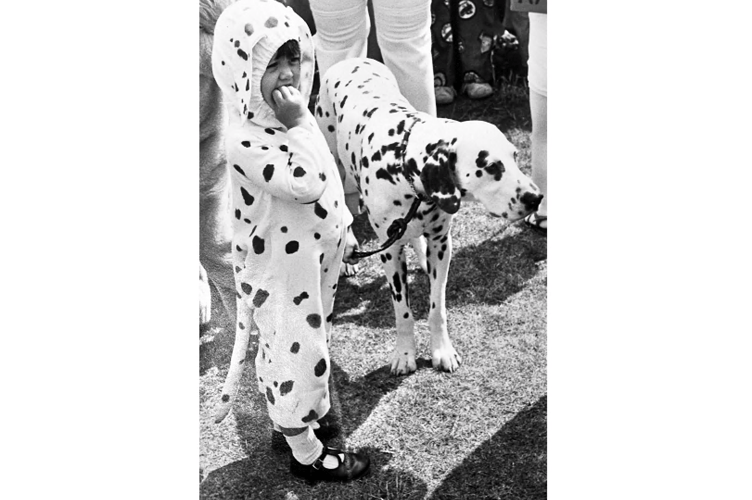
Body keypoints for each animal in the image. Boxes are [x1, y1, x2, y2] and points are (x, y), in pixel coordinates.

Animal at [314, 57, 544, 376]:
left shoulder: (441, 242)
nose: (536, 198)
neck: (400, 159)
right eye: (491, 166)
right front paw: (404, 354)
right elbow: (403, 312)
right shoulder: (390, 253)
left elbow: (437, 308)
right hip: (334, 163)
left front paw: (442, 351)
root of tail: (352, 60)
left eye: (514, 156)